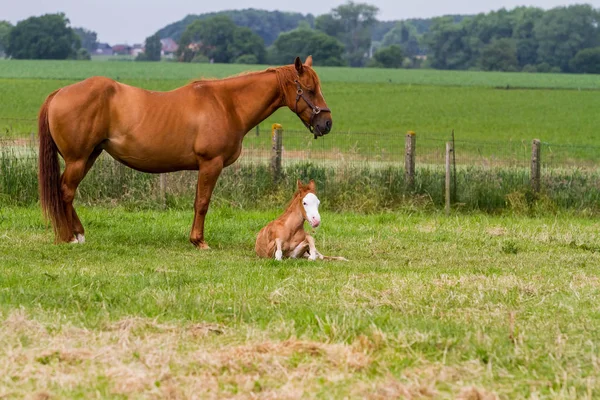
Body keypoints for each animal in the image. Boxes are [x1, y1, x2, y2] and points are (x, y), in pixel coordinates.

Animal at [38, 54, 332, 248]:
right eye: (309, 90)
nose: (326, 123)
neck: (228, 104)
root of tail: (59, 92)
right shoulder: (210, 164)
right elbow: (202, 203)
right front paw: (199, 241)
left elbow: (197, 202)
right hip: (78, 159)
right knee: (65, 191)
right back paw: (69, 236)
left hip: (89, 156)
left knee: (67, 192)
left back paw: (78, 234)